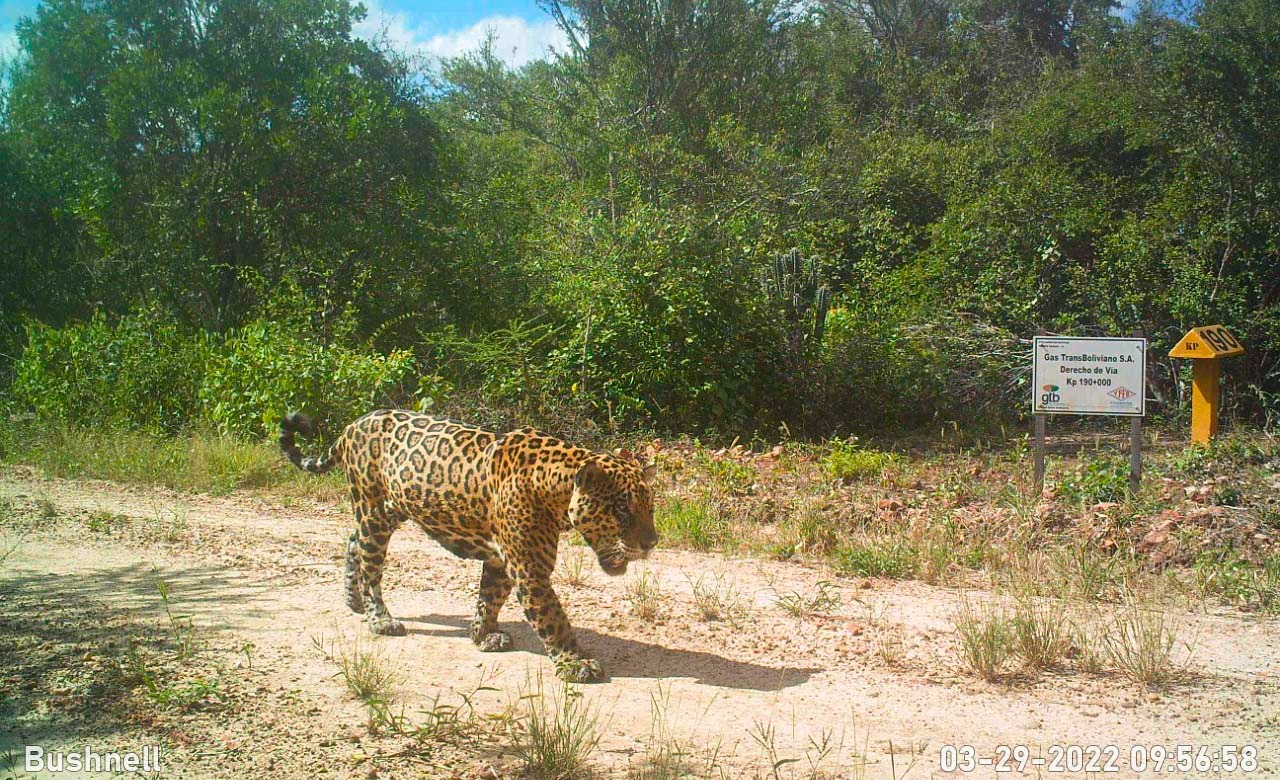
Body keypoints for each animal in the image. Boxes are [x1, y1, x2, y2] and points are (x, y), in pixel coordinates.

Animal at [279, 409, 658, 682]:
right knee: (371, 568)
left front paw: (483, 636)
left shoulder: (501, 560)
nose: (652, 543)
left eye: (650, 508)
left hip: (388, 510)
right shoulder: (529, 569)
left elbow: (489, 599)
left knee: (353, 542)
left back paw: (353, 599)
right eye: (622, 509)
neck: (554, 487)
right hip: (372, 510)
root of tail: (353, 425)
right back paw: (379, 619)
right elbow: (553, 618)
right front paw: (575, 663)